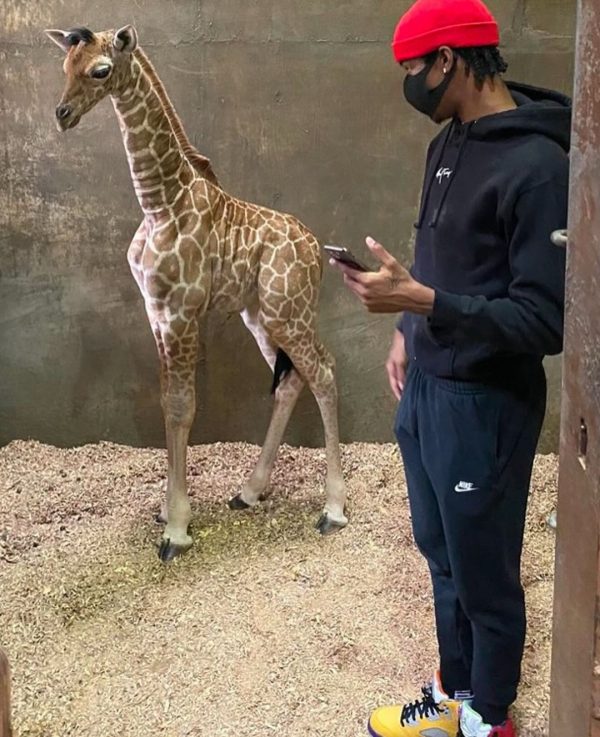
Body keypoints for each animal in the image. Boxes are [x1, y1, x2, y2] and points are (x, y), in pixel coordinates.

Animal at [45, 24, 348, 561]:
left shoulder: (182, 310)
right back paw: (249, 492)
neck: (160, 202)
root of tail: (316, 250)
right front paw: (169, 511)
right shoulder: (156, 311)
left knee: (323, 372)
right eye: (64, 65)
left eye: (100, 70)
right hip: (258, 315)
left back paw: (333, 510)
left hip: (288, 310)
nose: (62, 115)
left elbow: (184, 406)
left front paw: (176, 530)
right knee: (291, 381)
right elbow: (169, 403)